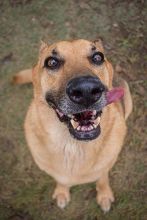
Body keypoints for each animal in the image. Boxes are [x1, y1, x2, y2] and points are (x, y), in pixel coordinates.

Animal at [13, 38, 133, 212]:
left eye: (98, 57)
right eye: (51, 62)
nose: (86, 91)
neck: (73, 147)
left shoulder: (104, 168)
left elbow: (102, 179)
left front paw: (104, 195)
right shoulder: (57, 173)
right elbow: (61, 180)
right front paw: (62, 192)